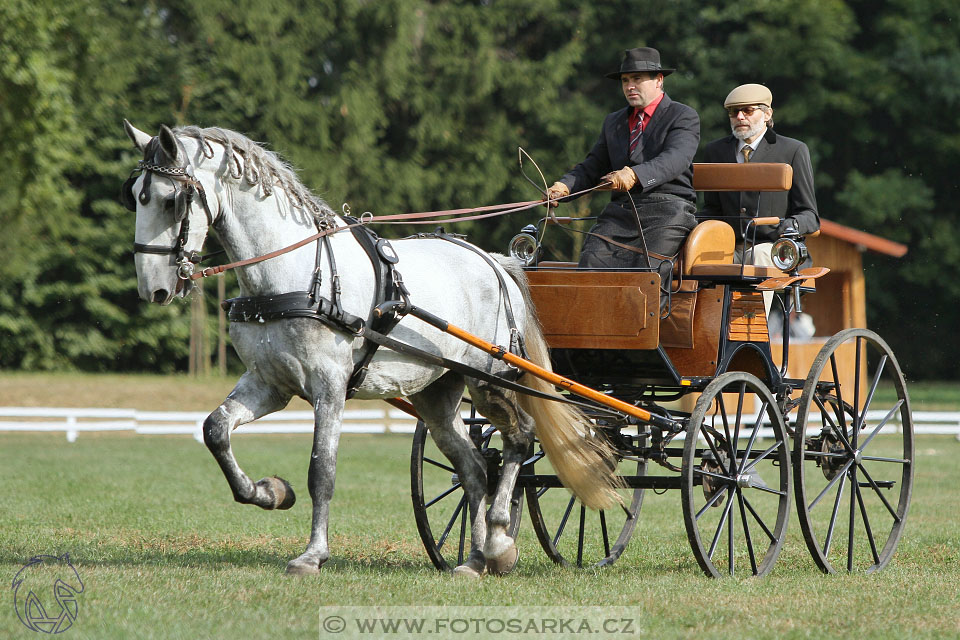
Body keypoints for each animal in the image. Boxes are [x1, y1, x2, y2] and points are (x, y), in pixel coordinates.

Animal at [124, 120, 620, 576]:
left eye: (171, 200)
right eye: (135, 196)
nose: (154, 289)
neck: (294, 272)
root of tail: (498, 263)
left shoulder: (329, 387)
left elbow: (322, 471)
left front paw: (312, 555)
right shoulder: (269, 384)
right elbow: (215, 430)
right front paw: (271, 492)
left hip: (491, 380)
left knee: (518, 438)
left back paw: (499, 542)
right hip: (437, 392)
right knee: (476, 467)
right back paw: (475, 558)